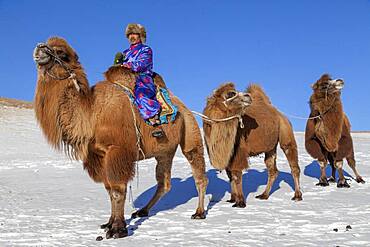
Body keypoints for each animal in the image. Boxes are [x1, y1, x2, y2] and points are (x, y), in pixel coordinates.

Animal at [32, 37, 208, 239]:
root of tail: (185, 108)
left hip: (190, 132)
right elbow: (108, 190)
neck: (91, 112)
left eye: (62, 54)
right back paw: (142, 211)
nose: (40, 48)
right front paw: (108, 223)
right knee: (164, 182)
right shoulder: (99, 155)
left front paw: (118, 229)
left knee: (198, 173)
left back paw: (199, 213)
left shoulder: (118, 151)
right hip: (164, 151)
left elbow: (117, 190)